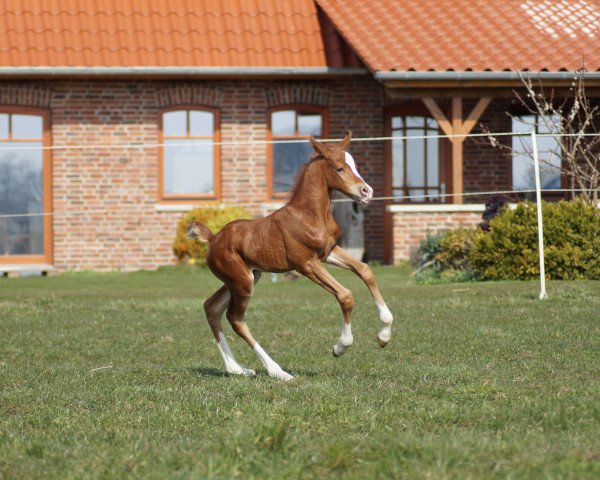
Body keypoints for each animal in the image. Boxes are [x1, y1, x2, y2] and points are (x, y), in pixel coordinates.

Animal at [189, 130, 394, 378]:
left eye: (354, 165)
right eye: (339, 168)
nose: (367, 191)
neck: (310, 215)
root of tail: (213, 239)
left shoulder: (328, 252)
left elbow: (365, 270)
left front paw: (384, 334)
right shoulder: (306, 263)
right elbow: (345, 295)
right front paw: (340, 346)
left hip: (245, 278)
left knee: (212, 307)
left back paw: (238, 369)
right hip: (242, 281)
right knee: (235, 318)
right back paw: (277, 371)